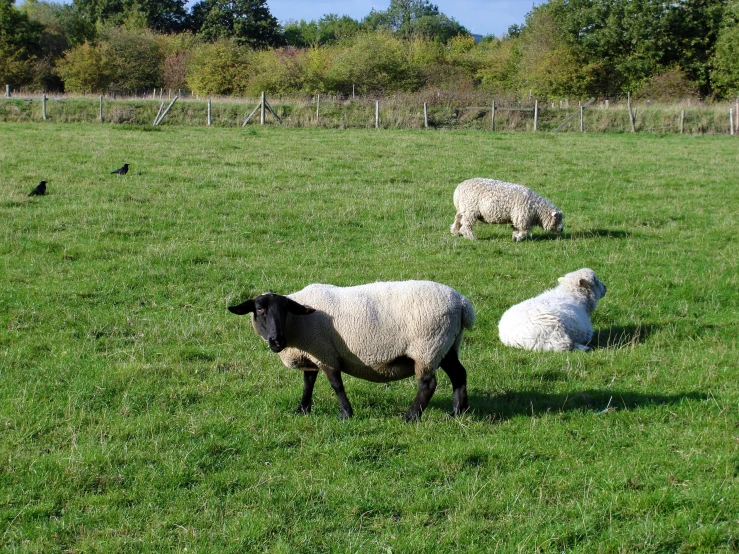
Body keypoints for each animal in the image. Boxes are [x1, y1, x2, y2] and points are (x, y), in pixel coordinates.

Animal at [228, 278, 476, 420]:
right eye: (260, 310)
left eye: (284, 311)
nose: (276, 341)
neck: (297, 324)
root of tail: (462, 303)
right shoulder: (313, 353)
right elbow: (308, 383)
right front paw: (302, 410)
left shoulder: (326, 353)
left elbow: (336, 385)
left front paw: (346, 414)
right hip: (447, 345)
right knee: (459, 374)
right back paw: (458, 412)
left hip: (427, 346)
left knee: (428, 384)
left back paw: (411, 416)